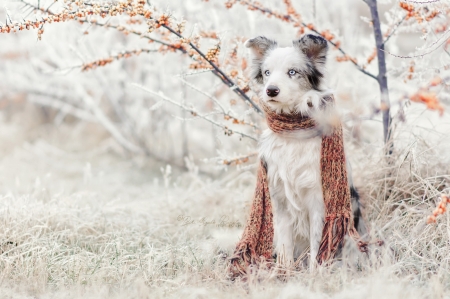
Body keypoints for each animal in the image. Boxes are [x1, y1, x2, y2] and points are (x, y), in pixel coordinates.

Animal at [244, 34, 364, 268]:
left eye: (292, 72)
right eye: (267, 72)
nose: (271, 90)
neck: (293, 131)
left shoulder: (318, 199)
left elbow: (318, 242)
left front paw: (315, 272)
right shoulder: (279, 197)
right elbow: (284, 243)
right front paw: (284, 270)